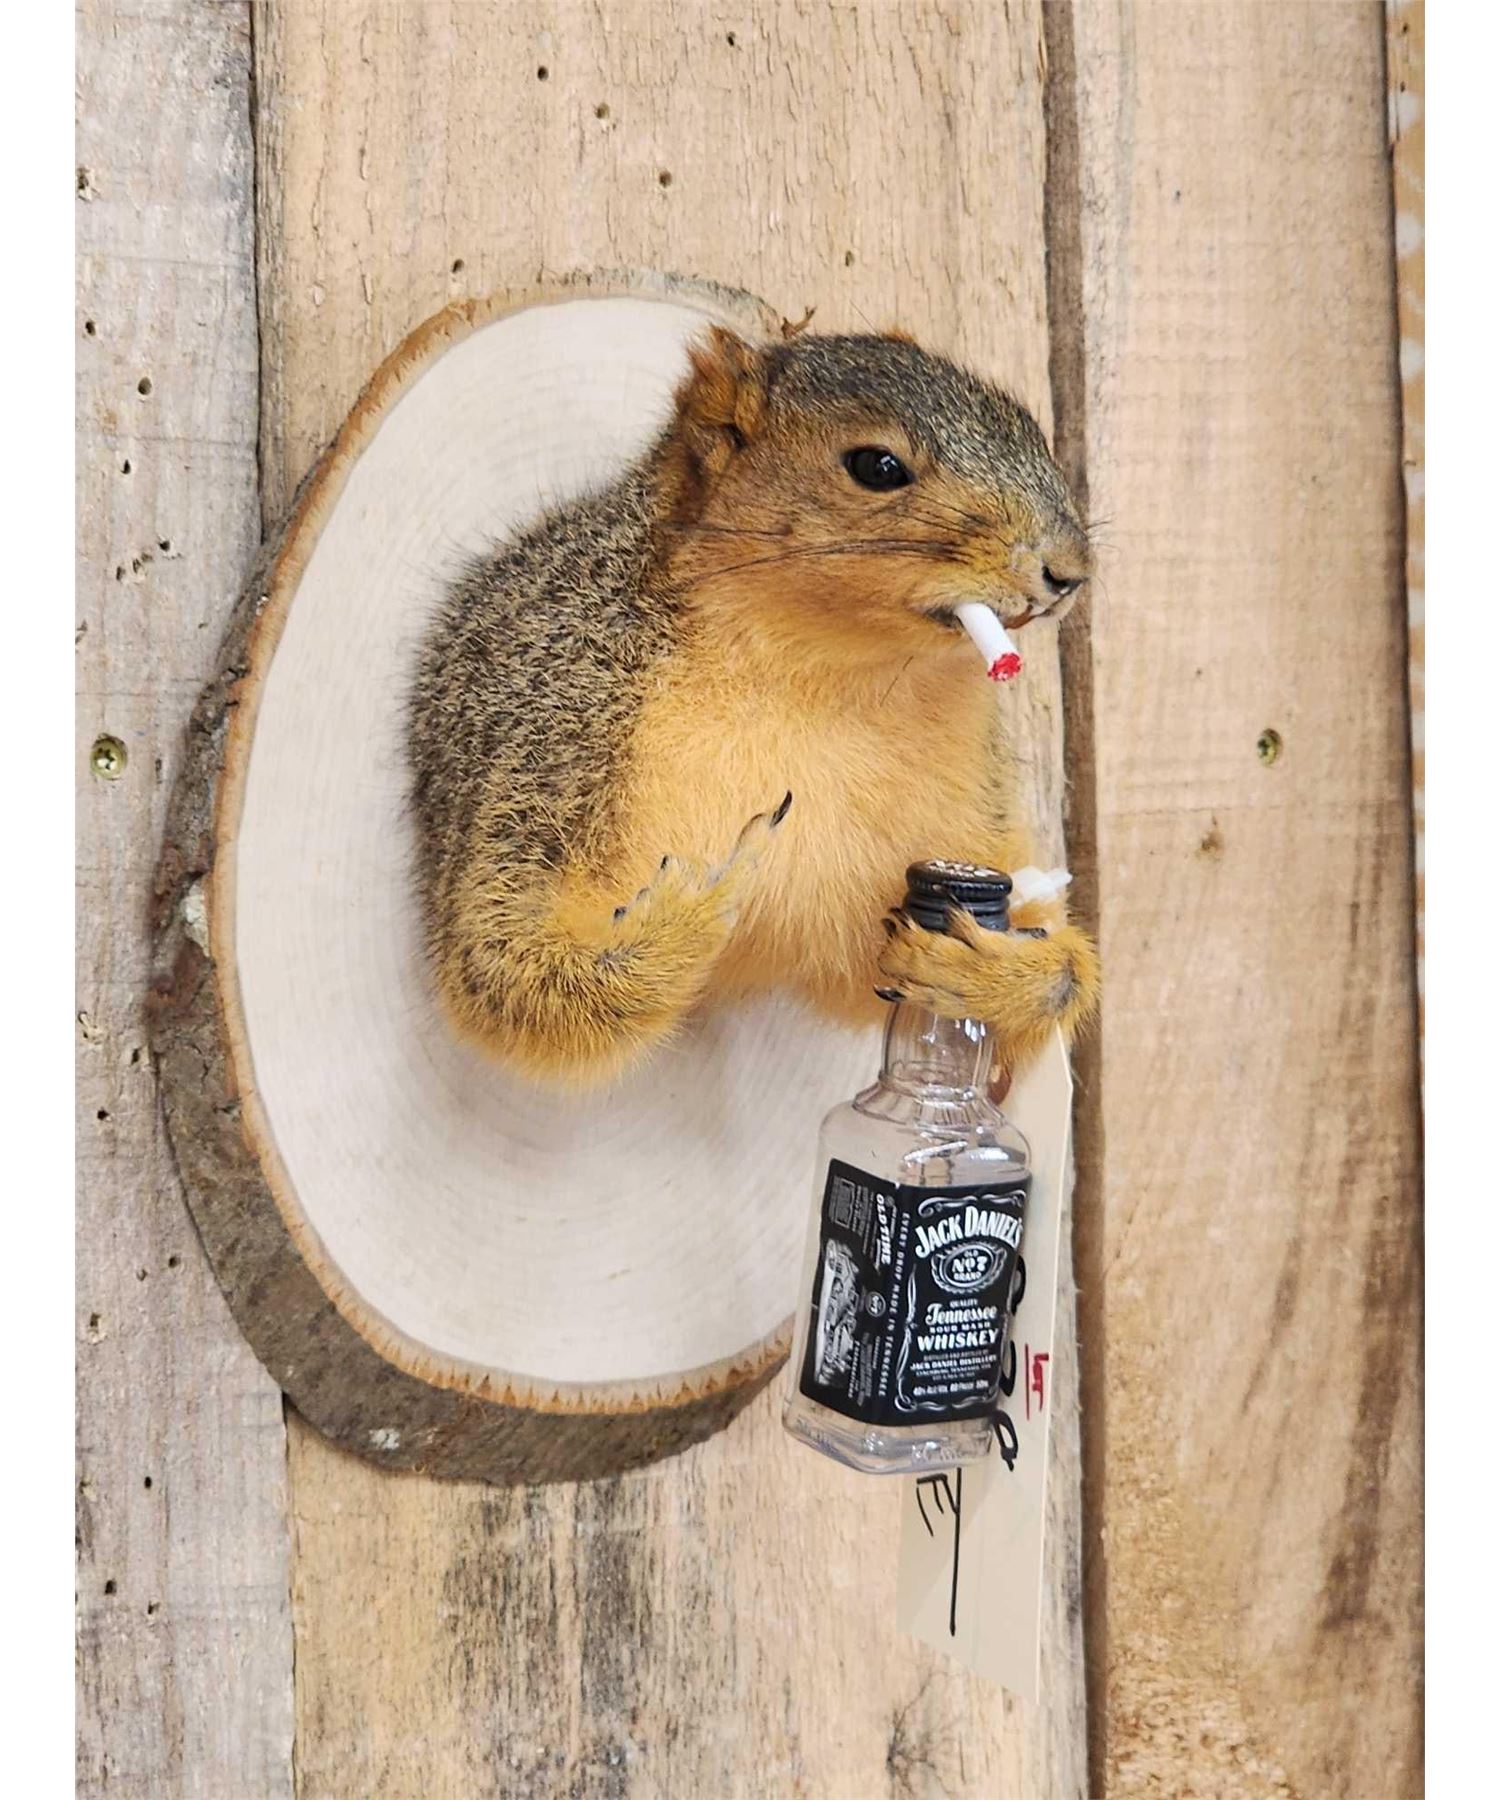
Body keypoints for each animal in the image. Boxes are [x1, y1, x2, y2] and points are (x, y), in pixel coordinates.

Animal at [407, 326, 1100, 1086]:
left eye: (1031, 427)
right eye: (877, 466)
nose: (1069, 571)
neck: (826, 678)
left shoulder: (963, 818)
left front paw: (1006, 972)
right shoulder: (553, 728)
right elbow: (506, 965)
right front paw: (710, 898)